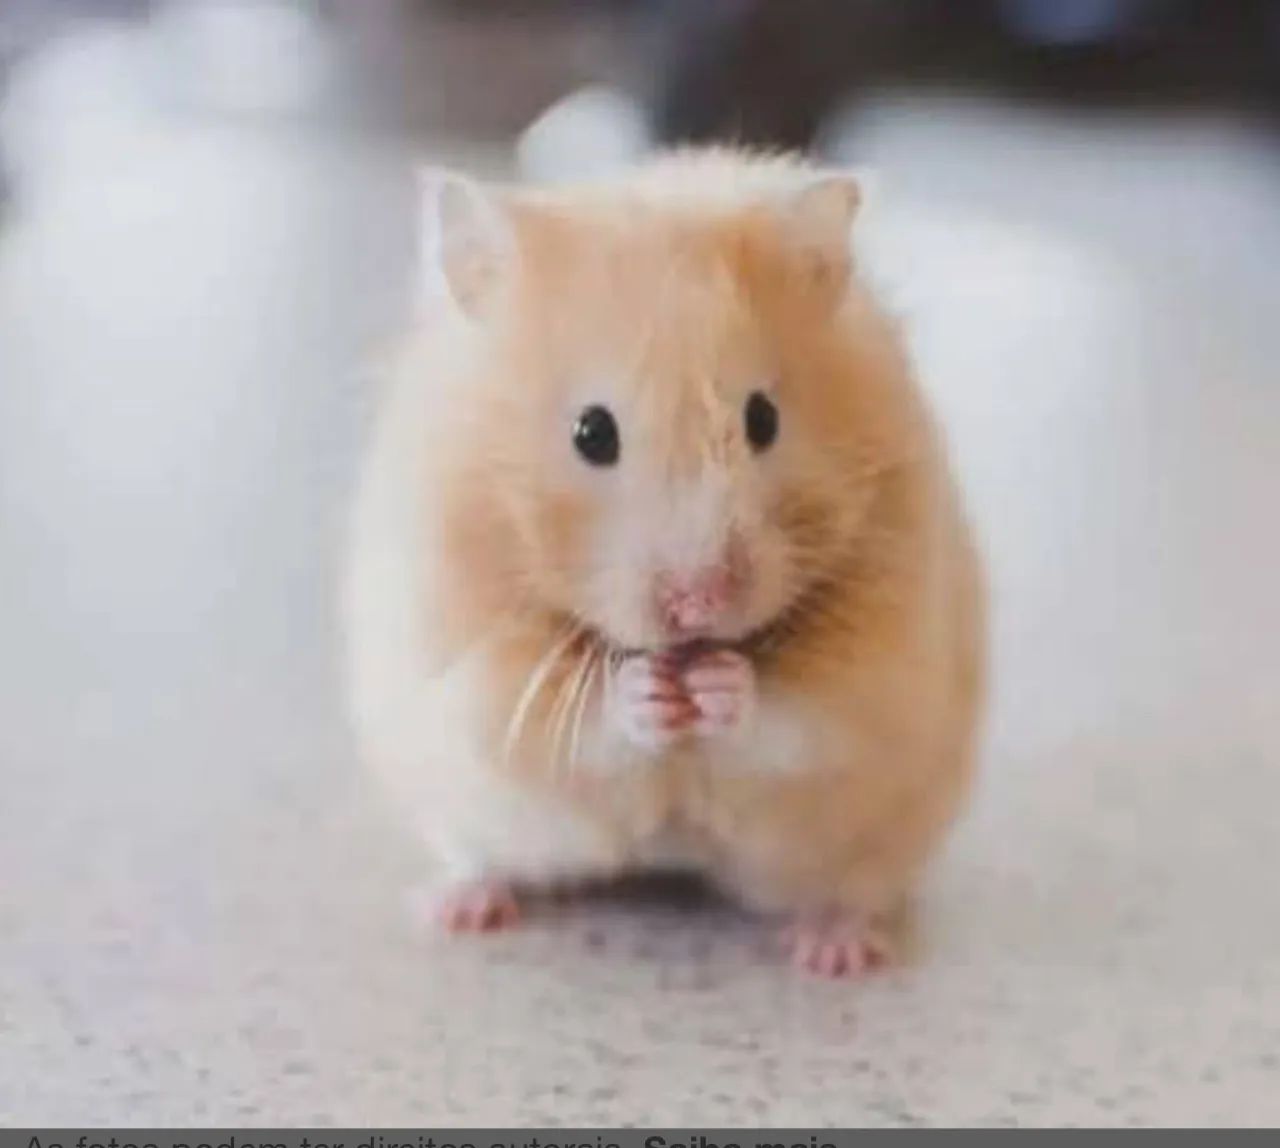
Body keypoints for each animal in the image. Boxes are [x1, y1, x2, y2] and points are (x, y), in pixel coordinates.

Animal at [342, 148, 986, 977]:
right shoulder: (474, 660)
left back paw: (833, 953)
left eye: (763, 418)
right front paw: (648, 692)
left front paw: (718, 685)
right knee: (477, 855)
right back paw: (458, 909)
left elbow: (798, 715)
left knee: (857, 891)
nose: (699, 603)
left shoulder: (880, 666)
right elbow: (564, 721)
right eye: (591, 432)